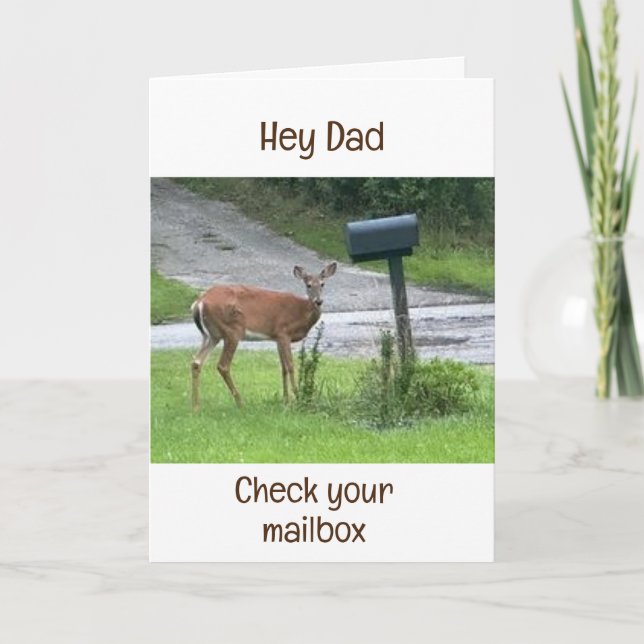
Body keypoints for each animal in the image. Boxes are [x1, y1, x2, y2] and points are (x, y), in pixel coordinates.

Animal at [190, 262, 337, 410]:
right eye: (308, 285)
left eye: (323, 284)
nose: (319, 301)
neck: (301, 313)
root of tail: (199, 303)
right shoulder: (284, 332)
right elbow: (290, 366)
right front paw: (298, 397)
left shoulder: (277, 337)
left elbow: (283, 368)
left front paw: (286, 400)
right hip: (232, 330)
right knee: (223, 365)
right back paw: (240, 402)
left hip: (212, 335)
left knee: (196, 362)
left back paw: (196, 406)